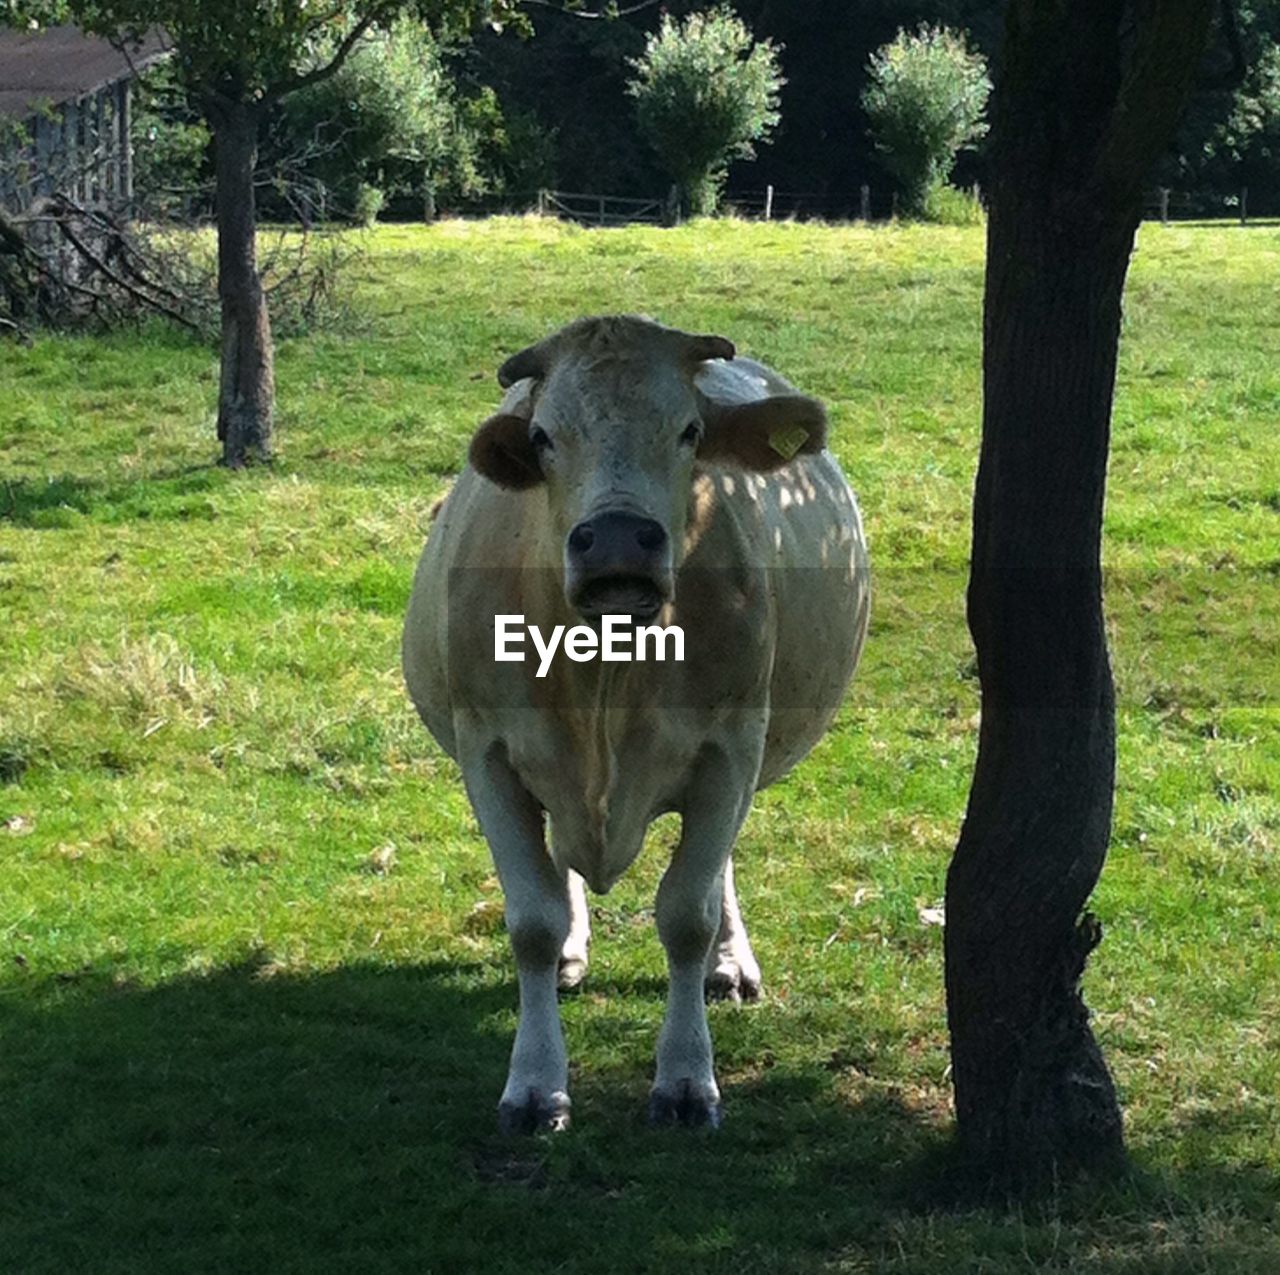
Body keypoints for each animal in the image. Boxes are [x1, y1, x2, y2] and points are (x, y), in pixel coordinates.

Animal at [404, 313, 870, 1131]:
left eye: (690, 430)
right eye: (543, 437)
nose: (619, 539)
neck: (606, 675)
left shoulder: (730, 750)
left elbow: (687, 910)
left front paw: (686, 1078)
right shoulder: (488, 753)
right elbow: (532, 921)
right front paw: (535, 1083)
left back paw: (729, 962)